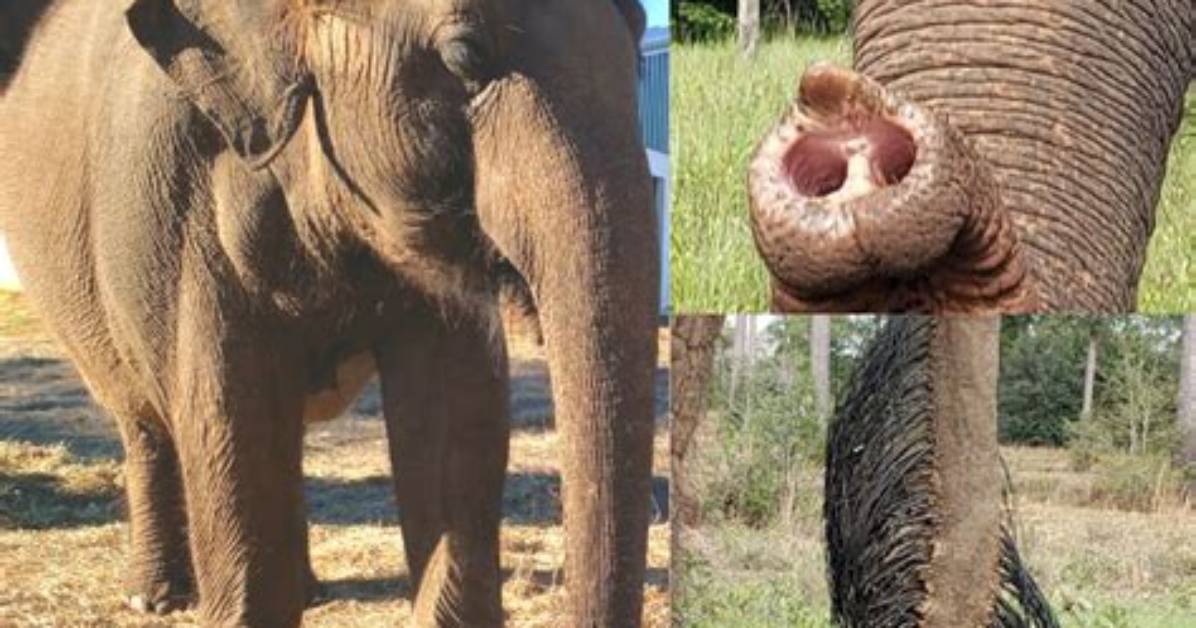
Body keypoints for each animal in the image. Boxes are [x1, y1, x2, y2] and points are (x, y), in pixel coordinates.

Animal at [0, 0, 658, 626]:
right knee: (146, 421)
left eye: (638, 45)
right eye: (465, 56)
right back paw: (155, 599)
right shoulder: (179, 206)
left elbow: (455, 409)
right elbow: (229, 414)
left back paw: (306, 591)